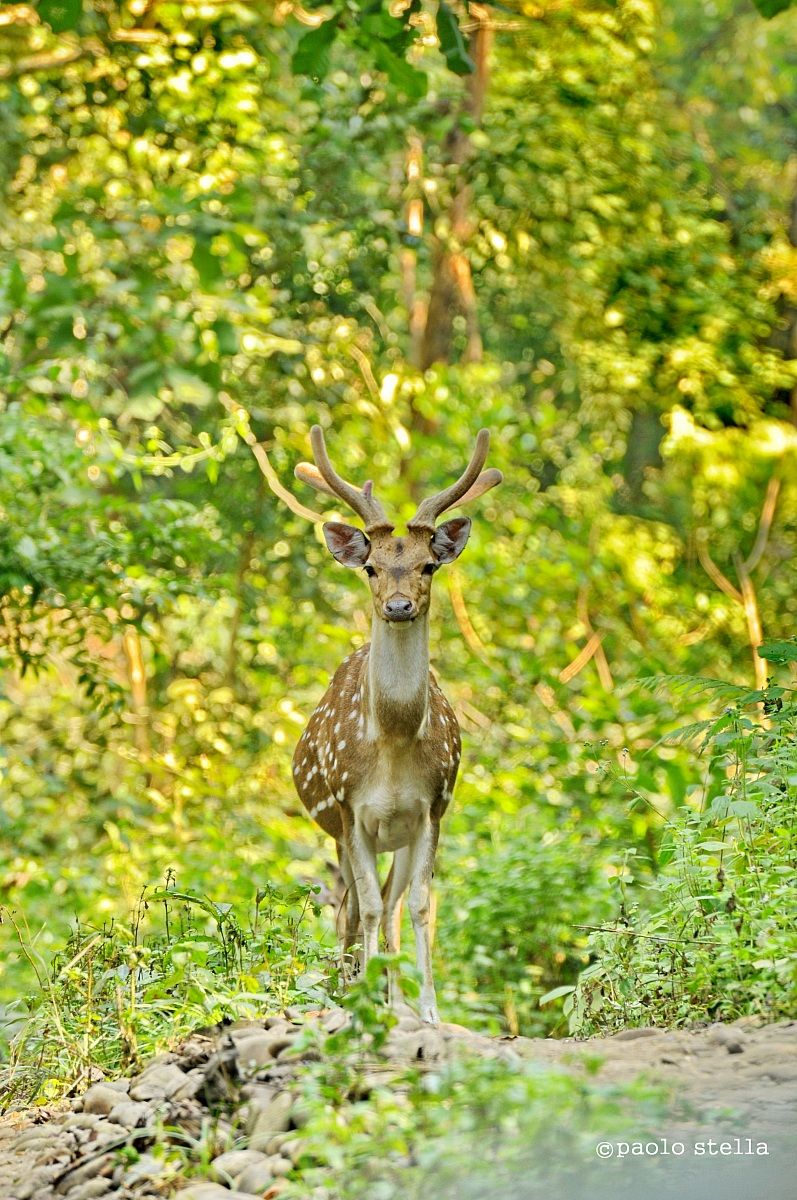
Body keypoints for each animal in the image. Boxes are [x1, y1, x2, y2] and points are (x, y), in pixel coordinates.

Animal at [290, 426, 501, 1025]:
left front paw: (427, 1009)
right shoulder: (349, 809)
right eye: (371, 567)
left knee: (389, 905)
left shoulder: (430, 809)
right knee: (352, 906)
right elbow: (363, 906)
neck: (392, 742)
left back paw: (393, 997)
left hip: (400, 836)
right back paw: (345, 990)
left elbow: (420, 907)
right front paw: (364, 1001)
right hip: (336, 831)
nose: (401, 605)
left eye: (429, 565)